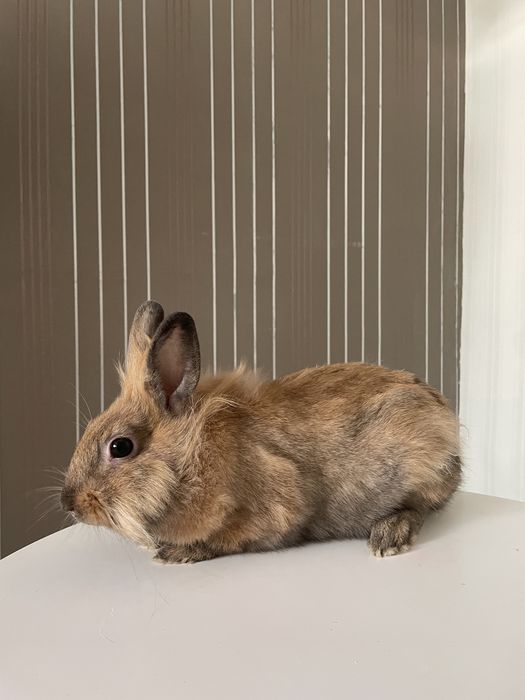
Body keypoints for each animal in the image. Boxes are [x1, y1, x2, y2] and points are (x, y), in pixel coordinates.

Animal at [61, 300, 462, 564]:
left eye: (120, 446)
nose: (70, 503)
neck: (194, 453)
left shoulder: (275, 506)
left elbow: (228, 539)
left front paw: (177, 553)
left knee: (421, 506)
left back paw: (388, 537)